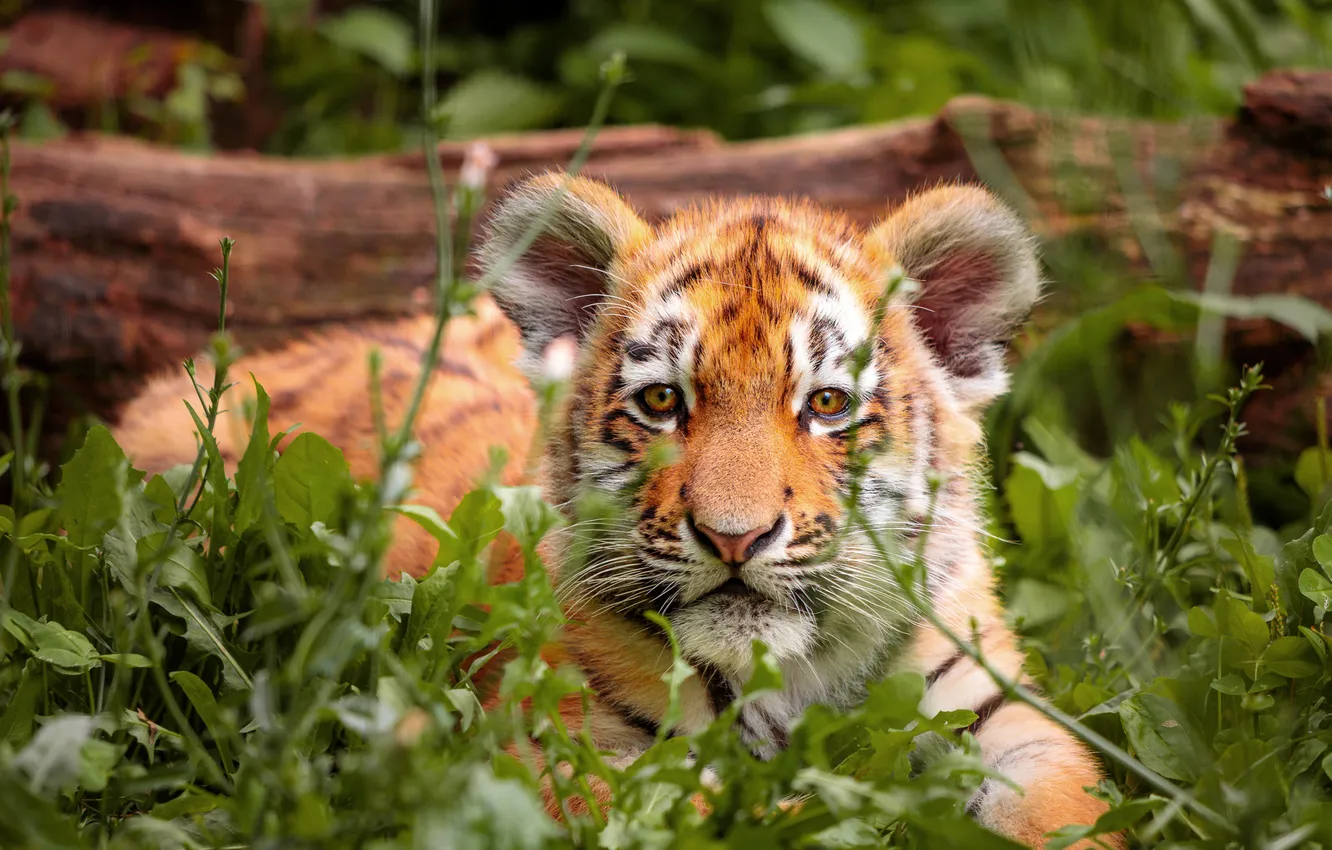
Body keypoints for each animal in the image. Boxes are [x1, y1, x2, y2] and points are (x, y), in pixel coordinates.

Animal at [113, 172, 1119, 848]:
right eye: (664, 402)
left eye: (827, 404)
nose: (734, 537)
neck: (786, 679)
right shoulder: (561, 751)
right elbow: (707, 808)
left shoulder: (1002, 716)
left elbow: (1067, 810)